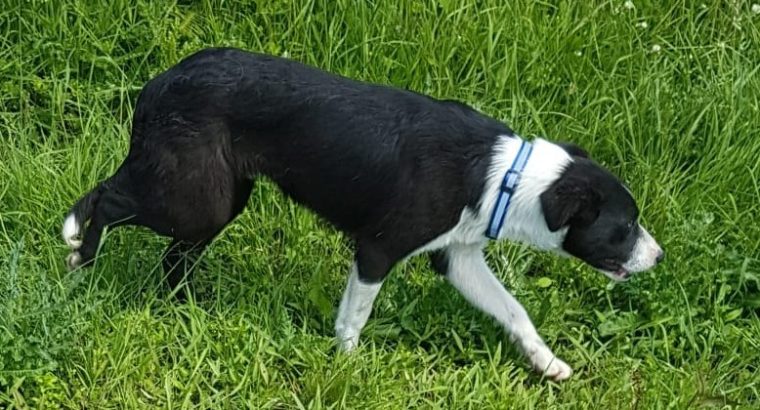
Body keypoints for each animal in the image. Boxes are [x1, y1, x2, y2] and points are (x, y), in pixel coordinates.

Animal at [62, 47, 664, 382]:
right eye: (624, 229)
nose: (659, 257)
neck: (507, 177)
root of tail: (159, 82)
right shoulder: (378, 248)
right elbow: (355, 315)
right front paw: (347, 367)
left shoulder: (458, 256)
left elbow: (515, 311)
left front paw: (547, 363)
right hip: (193, 198)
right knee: (107, 199)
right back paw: (78, 252)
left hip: (216, 201)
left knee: (172, 255)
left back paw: (186, 305)